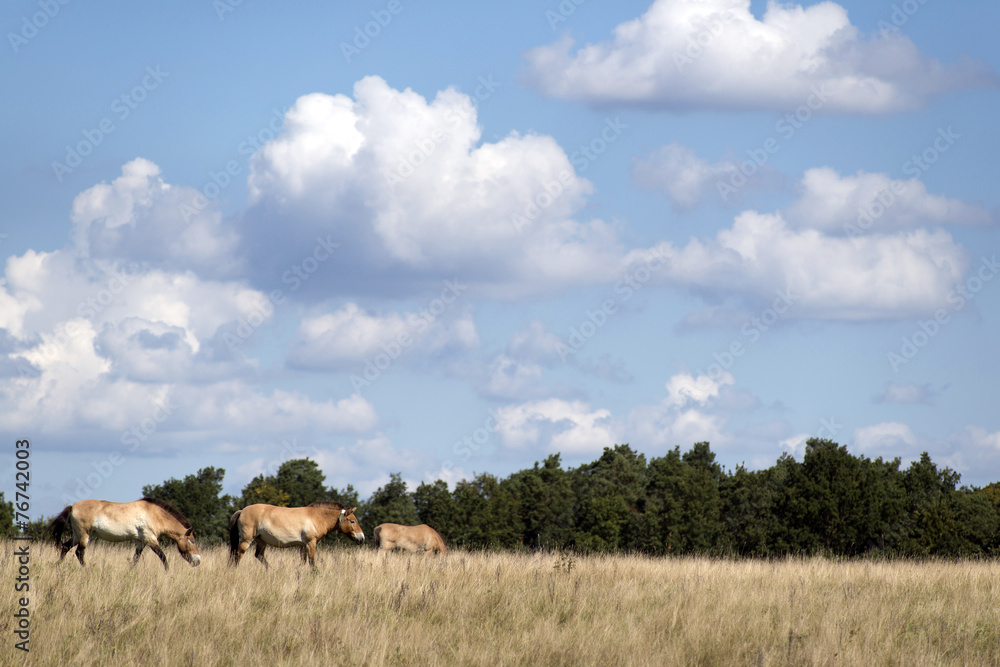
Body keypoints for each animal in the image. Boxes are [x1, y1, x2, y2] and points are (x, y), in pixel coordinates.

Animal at [50, 498, 201, 570]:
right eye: (192, 541)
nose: (198, 561)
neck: (154, 514)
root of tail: (72, 507)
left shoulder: (141, 541)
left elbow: (135, 559)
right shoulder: (150, 539)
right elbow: (163, 557)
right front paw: (168, 572)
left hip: (77, 535)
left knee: (65, 547)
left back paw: (58, 565)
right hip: (84, 535)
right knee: (79, 553)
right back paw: (86, 569)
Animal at [229, 501, 364, 569]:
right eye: (352, 521)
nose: (362, 538)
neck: (317, 517)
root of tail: (242, 510)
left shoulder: (303, 546)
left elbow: (302, 563)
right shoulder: (311, 543)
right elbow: (311, 562)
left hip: (261, 541)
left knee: (259, 556)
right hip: (247, 540)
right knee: (237, 555)